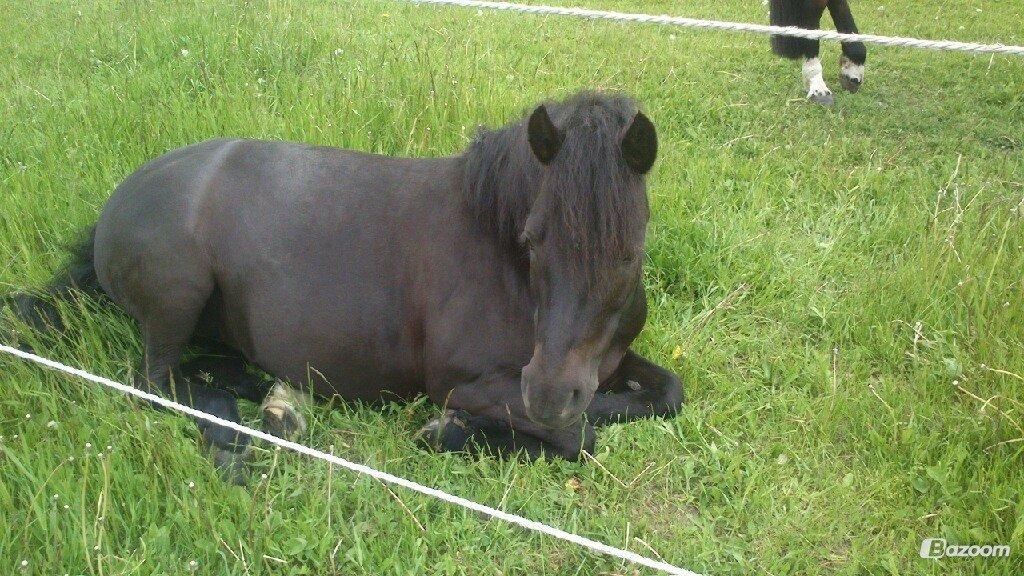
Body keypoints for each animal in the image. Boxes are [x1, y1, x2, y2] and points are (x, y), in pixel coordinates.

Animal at [8, 91, 684, 484]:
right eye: (533, 238)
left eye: (631, 248)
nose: (546, 392)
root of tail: (117, 202)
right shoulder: (463, 381)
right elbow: (580, 436)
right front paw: (452, 430)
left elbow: (666, 394)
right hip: (179, 293)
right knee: (155, 382)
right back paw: (236, 438)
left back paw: (264, 400)